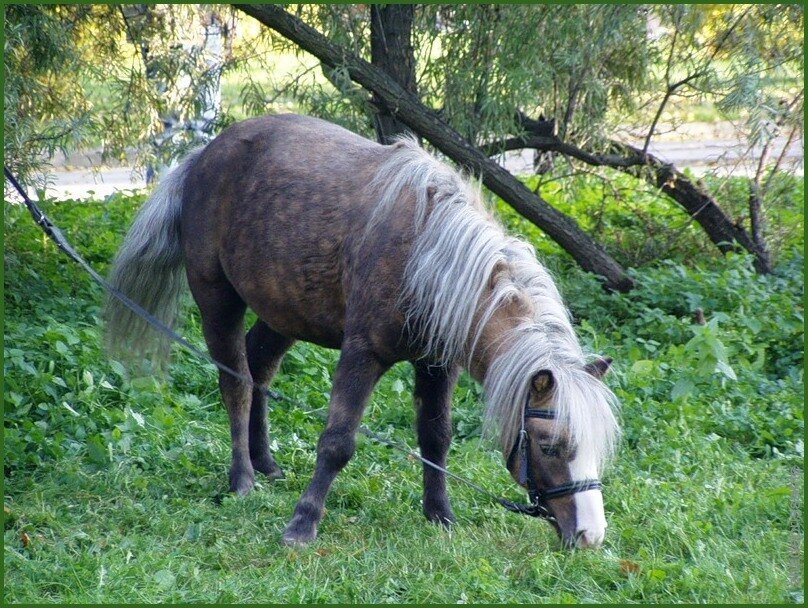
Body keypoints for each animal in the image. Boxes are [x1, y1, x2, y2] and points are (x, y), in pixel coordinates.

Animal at [102, 111, 620, 548]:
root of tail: (204, 156)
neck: (428, 257)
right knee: (238, 383)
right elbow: (337, 442)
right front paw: (302, 524)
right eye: (550, 445)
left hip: (284, 311)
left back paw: (266, 463)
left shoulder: (437, 365)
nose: (591, 536)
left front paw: (441, 514)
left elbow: (436, 437)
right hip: (218, 301)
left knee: (261, 368)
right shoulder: (362, 355)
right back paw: (243, 477)